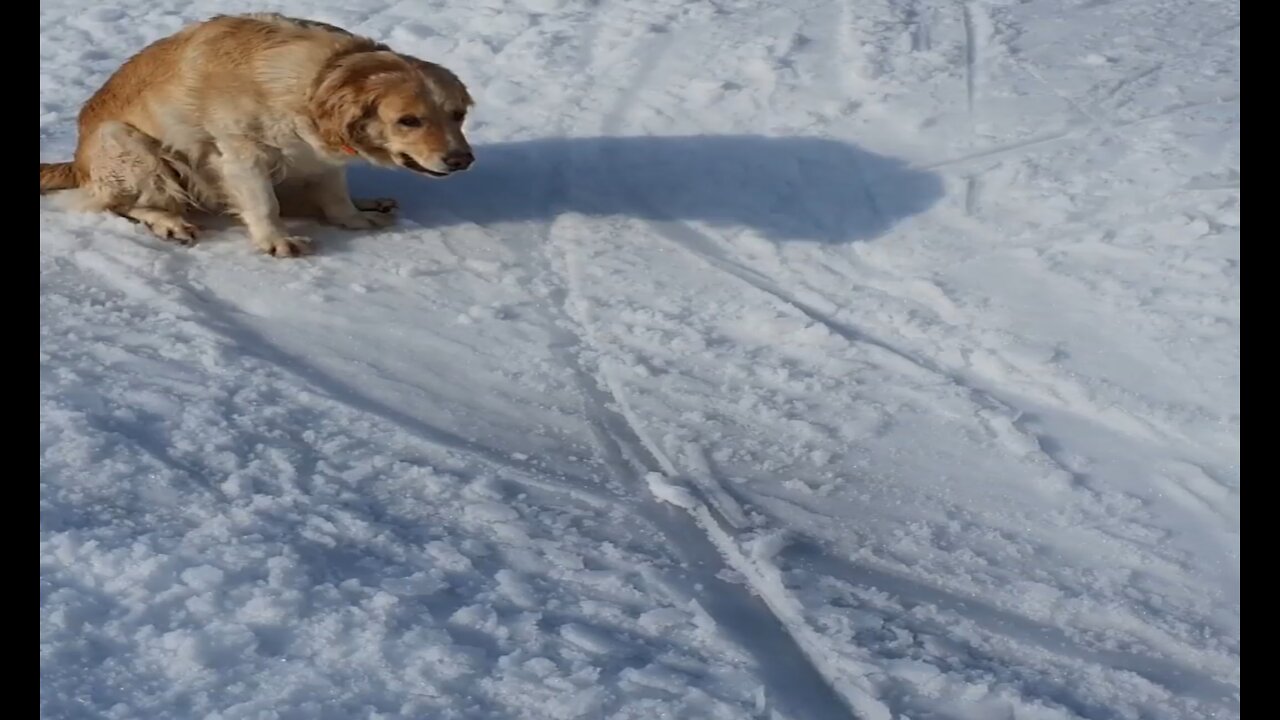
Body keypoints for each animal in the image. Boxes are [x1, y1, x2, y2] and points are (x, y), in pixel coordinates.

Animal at [42, 13, 478, 257]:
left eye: (457, 115)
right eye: (409, 120)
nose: (462, 160)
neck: (318, 81)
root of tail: (77, 162)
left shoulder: (321, 157)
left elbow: (335, 195)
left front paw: (354, 217)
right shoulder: (241, 154)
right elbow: (264, 204)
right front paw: (276, 242)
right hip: (127, 144)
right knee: (121, 203)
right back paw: (169, 222)